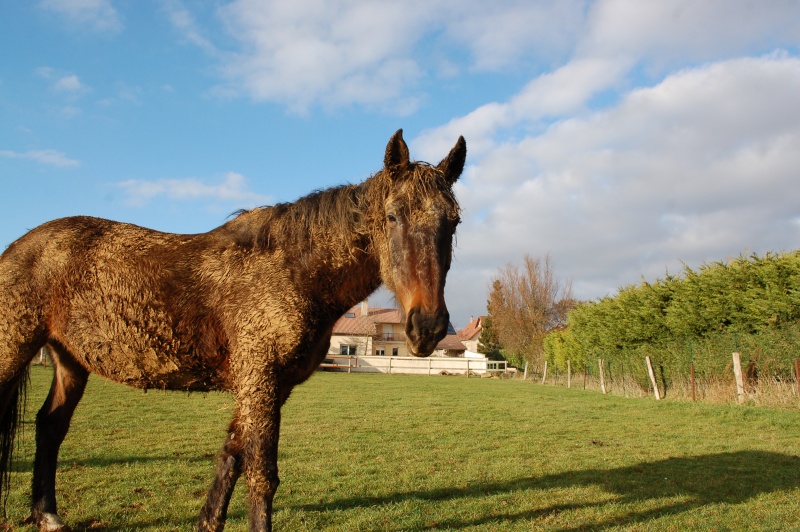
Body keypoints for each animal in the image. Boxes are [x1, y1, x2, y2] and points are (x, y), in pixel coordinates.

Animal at [0, 130, 466, 532]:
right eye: (392, 216)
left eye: (454, 222)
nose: (427, 326)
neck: (292, 269)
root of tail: (19, 247)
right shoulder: (259, 379)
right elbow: (262, 476)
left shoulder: (270, 385)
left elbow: (232, 457)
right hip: (14, 352)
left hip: (70, 361)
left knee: (49, 427)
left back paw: (48, 516)